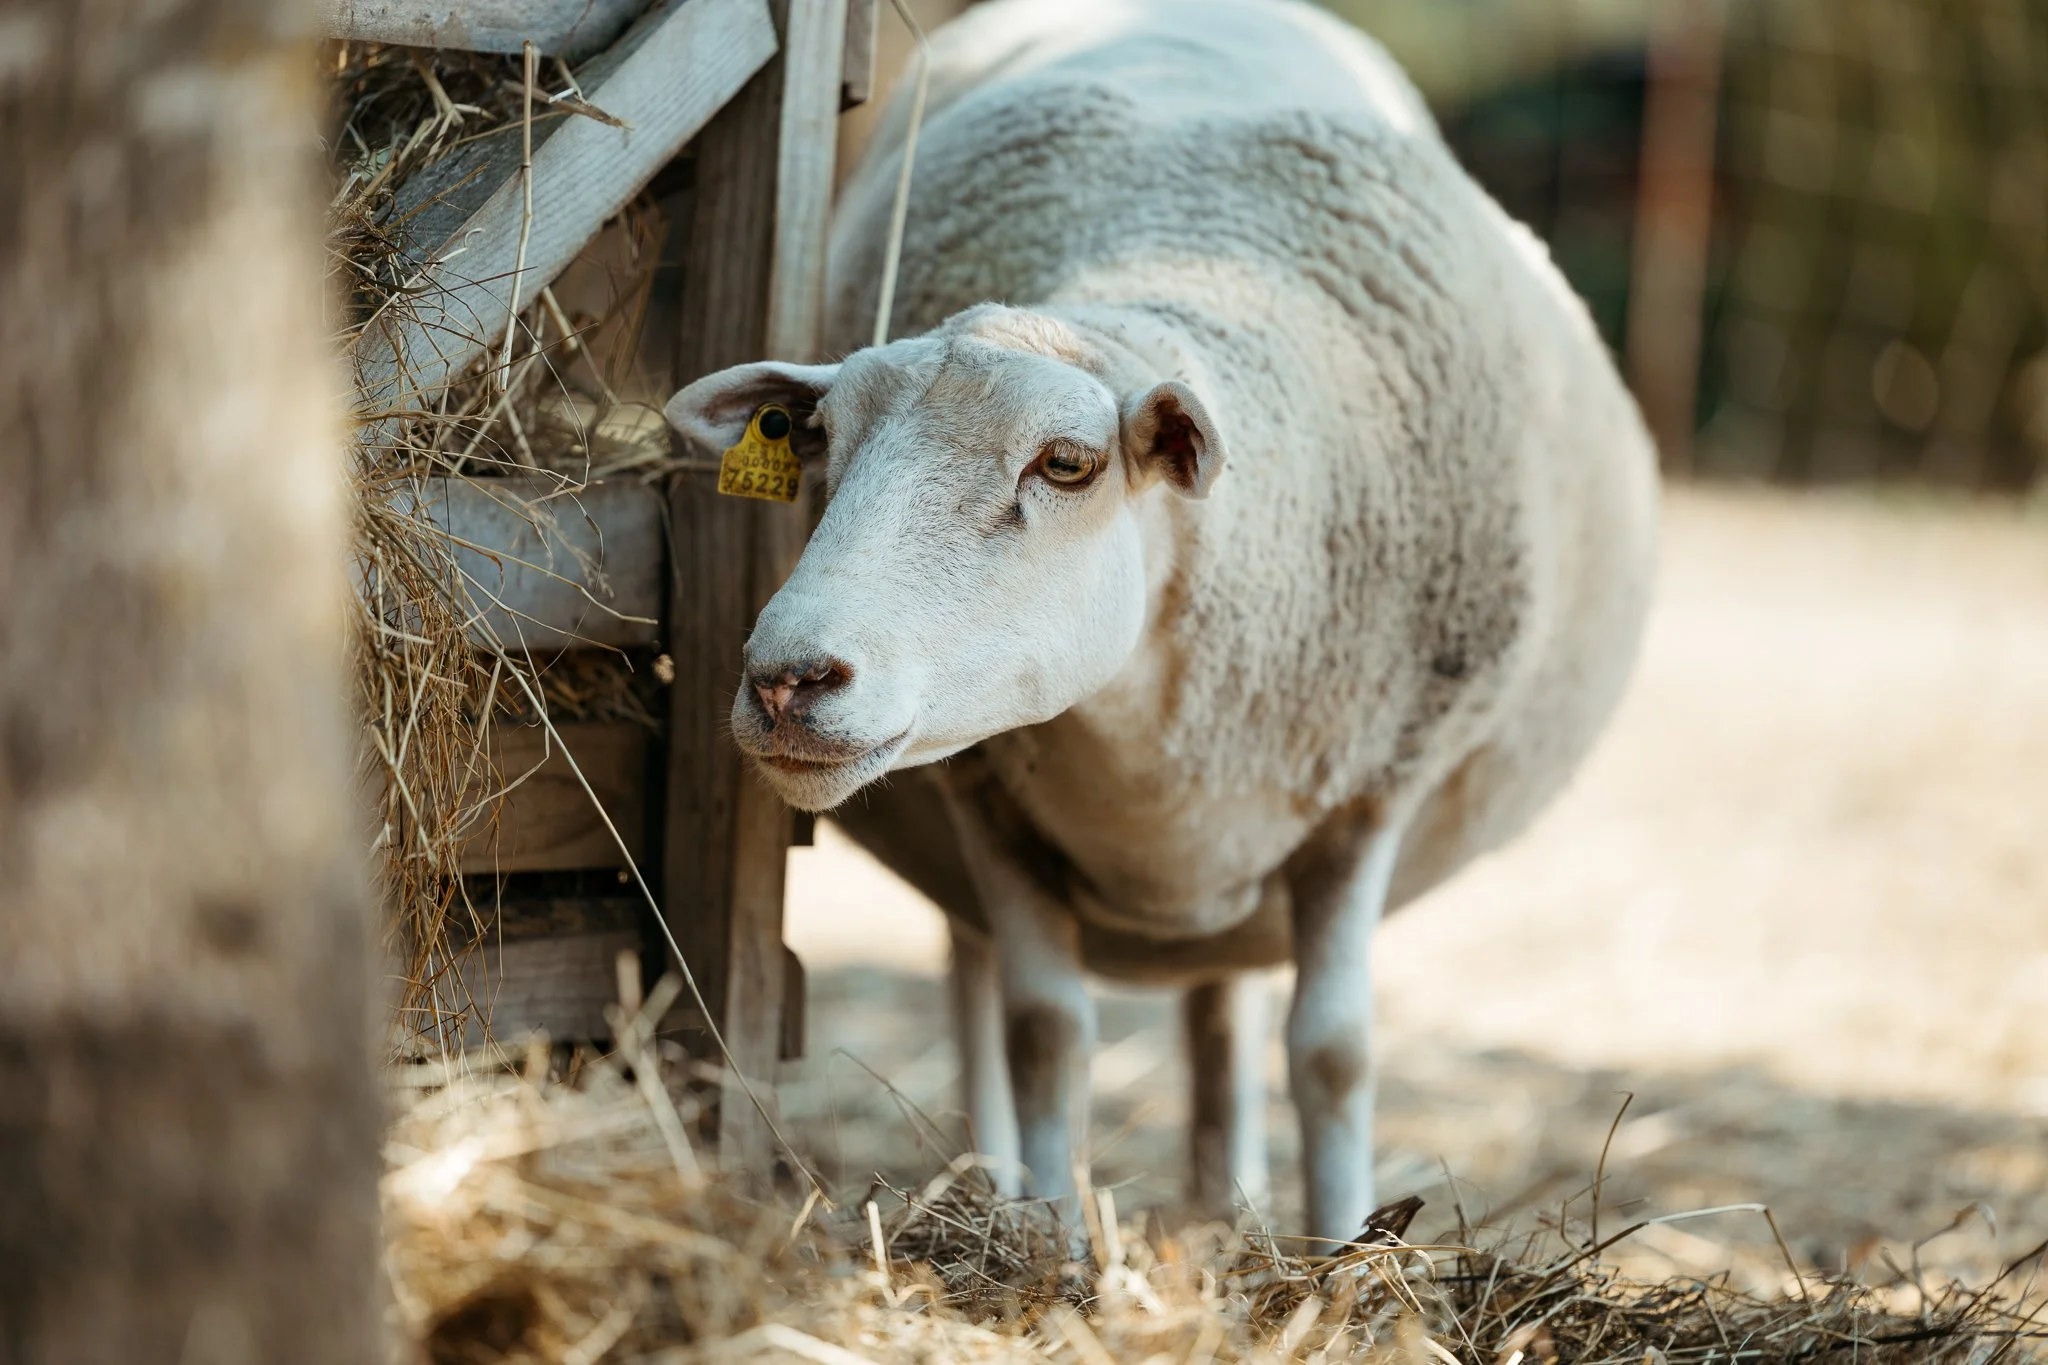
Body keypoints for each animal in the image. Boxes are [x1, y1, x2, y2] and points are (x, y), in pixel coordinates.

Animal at [664, 0, 1658, 1244]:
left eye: (1066, 463)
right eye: (818, 446)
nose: (787, 680)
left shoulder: (1374, 790)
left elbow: (1332, 1054)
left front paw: (1339, 1247)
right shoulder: (984, 797)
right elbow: (1044, 1029)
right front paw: (1048, 1234)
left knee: (1223, 1007)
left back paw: (1225, 1204)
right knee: (973, 984)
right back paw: (992, 1179)